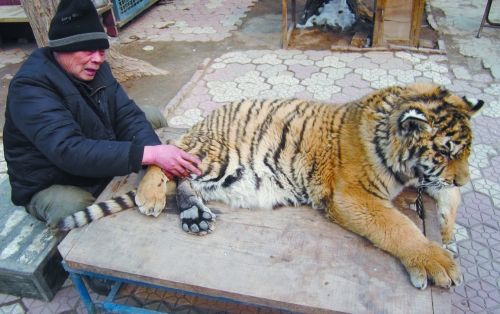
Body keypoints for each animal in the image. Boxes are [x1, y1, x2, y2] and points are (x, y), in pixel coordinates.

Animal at [56, 83, 482, 290]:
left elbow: (446, 195)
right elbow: (398, 226)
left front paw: (447, 229)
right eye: (445, 151)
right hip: (213, 155)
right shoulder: (353, 195)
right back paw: (151, 198)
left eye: (464, 151)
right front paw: (437, 263)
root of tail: (204, 121)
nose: (464, 176)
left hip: (220, 174)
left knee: (185, 183)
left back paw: (195, 217)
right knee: (164, 159)